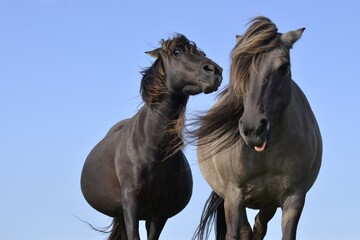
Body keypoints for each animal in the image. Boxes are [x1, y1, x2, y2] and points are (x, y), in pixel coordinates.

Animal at [81, 34, 222, 240]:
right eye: (177, 52)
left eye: (201, 53)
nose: (215, 71)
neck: (152, 148)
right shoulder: (131, 204)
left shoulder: (160, 211)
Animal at [193, 17, 322, 240]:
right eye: (239, 67)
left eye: (283, 67)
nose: (253, 129)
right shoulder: (233, 196)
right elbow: (235, 233)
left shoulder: (293, 199)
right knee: (246, 229)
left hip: (268, 202)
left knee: (258, 226)